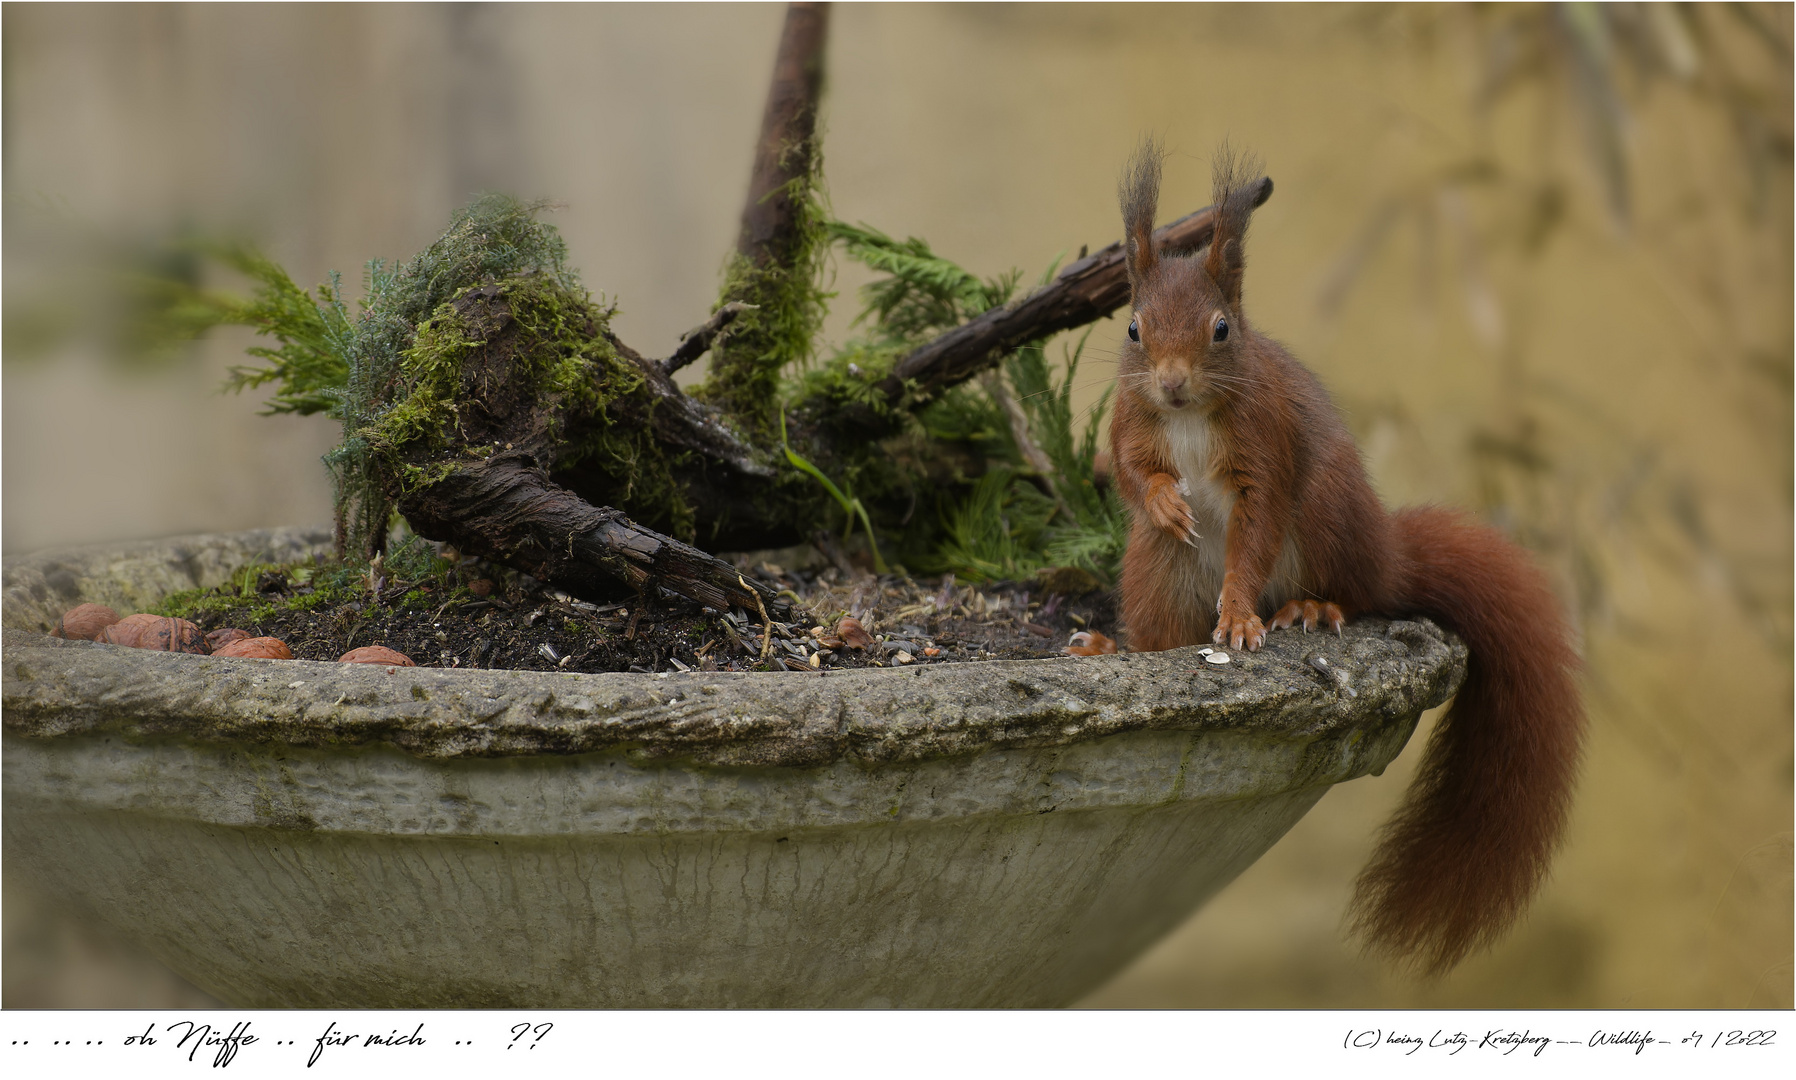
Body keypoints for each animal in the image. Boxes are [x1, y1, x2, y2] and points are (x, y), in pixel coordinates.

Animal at [1106, 142, 1587, 970]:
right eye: (1134, 329)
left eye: (1222, 329)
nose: (1170, 384)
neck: (1189, 418)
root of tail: (1387, 554)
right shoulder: (1127, 418)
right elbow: (1131, 470)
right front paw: (1167, 502)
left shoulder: (1267, 448)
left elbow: (1254, 533)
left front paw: (1240, 620)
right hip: (1155, 573)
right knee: (1162, 628)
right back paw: (1113, 646)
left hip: (1328, 514)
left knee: (1358, 591)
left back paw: (1309, 606)